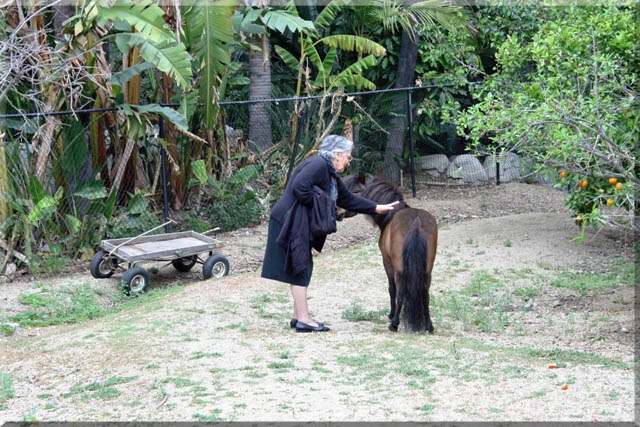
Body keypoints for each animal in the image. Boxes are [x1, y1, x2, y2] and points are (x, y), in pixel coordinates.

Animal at [342, 175, 438, 334]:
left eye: (355, 191)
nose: (338, 211)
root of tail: (416, 224)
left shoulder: (387, 262)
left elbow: (392, 289)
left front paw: (391, 314)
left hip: (399, 269)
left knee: (400, 293)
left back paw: (394, 324)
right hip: (427, 270)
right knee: (426, 294)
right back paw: (429, 325)